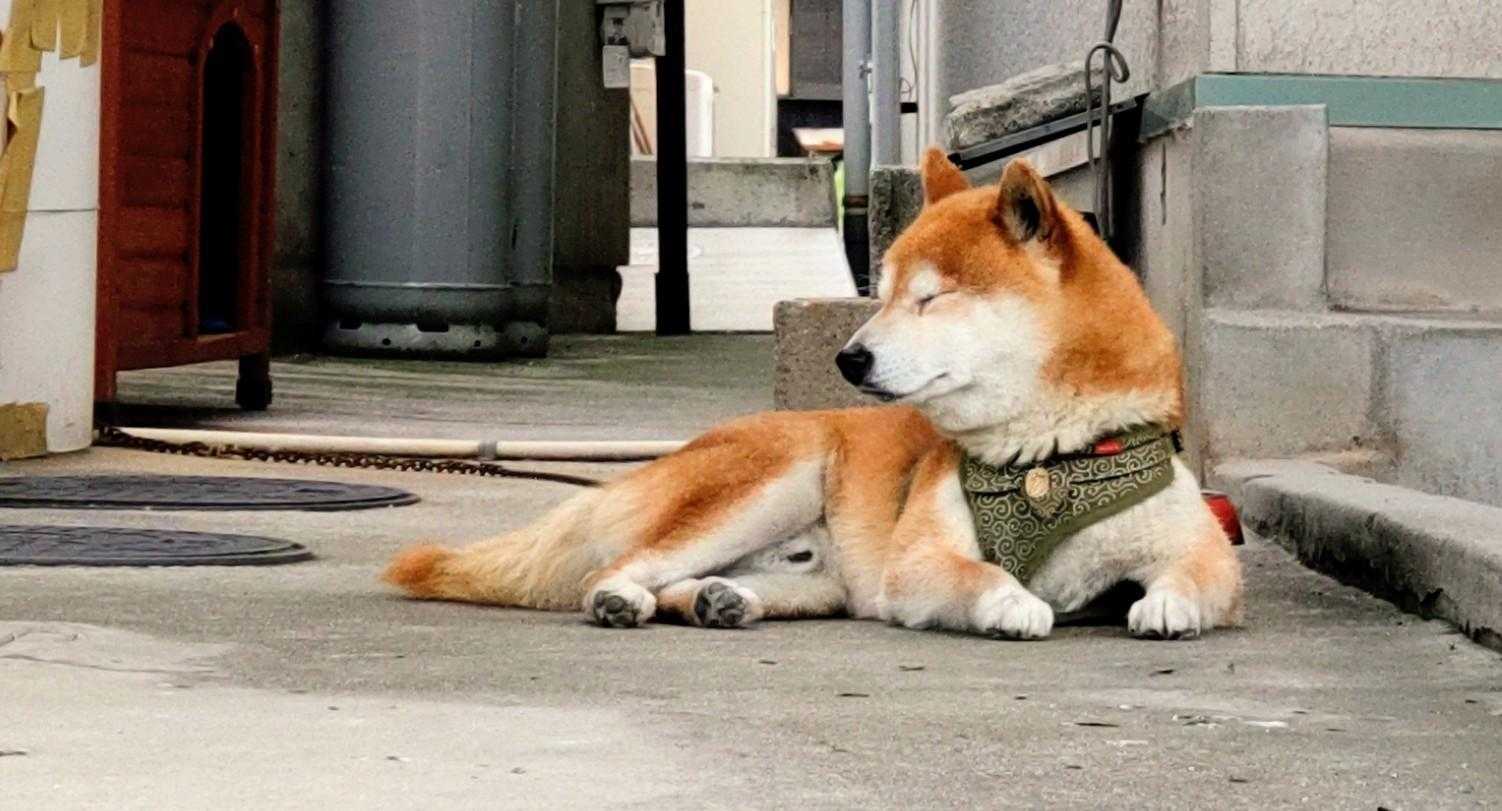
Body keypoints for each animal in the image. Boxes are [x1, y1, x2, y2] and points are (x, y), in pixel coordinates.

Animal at [383, 149, 1243, 640]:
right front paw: (1012, 602)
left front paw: (1168, 605)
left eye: (929, 298)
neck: (1047, 456)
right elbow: (979, 576)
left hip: (816, 576)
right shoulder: (918, 558)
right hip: (770, 481)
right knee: (621, 567)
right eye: (882, 290)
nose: (849, 357)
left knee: (698, 581)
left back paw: (720, 600)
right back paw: (622, 599)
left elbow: (1200, 574)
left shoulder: (1196, 543)